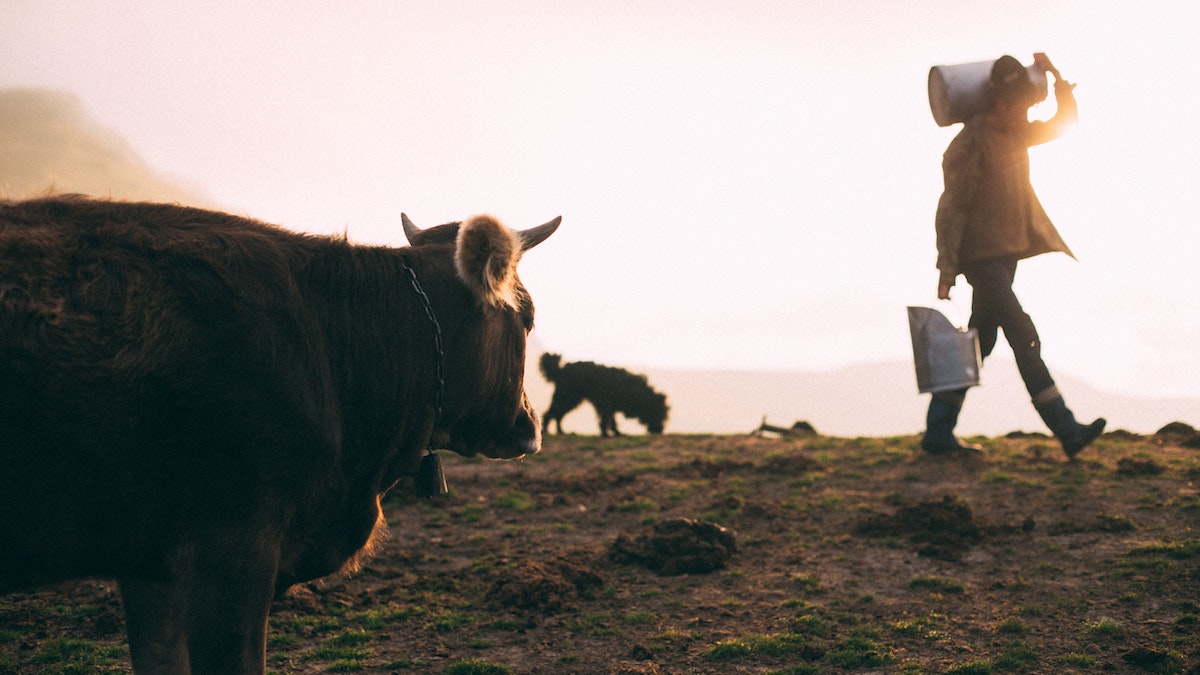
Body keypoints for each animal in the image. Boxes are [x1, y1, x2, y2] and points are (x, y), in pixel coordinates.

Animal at [542, 353, 672, 437]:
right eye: (659, 413)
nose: (660, 430)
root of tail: (560, 369)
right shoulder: (604, 405)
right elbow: (606, 420)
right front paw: (606, 433)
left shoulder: (610, 406)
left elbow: (612, 420)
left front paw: (616, 432)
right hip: (567, 397)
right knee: (550, 413)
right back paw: (547, 431)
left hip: (571, 399)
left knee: (558, 415)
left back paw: (561, 432)